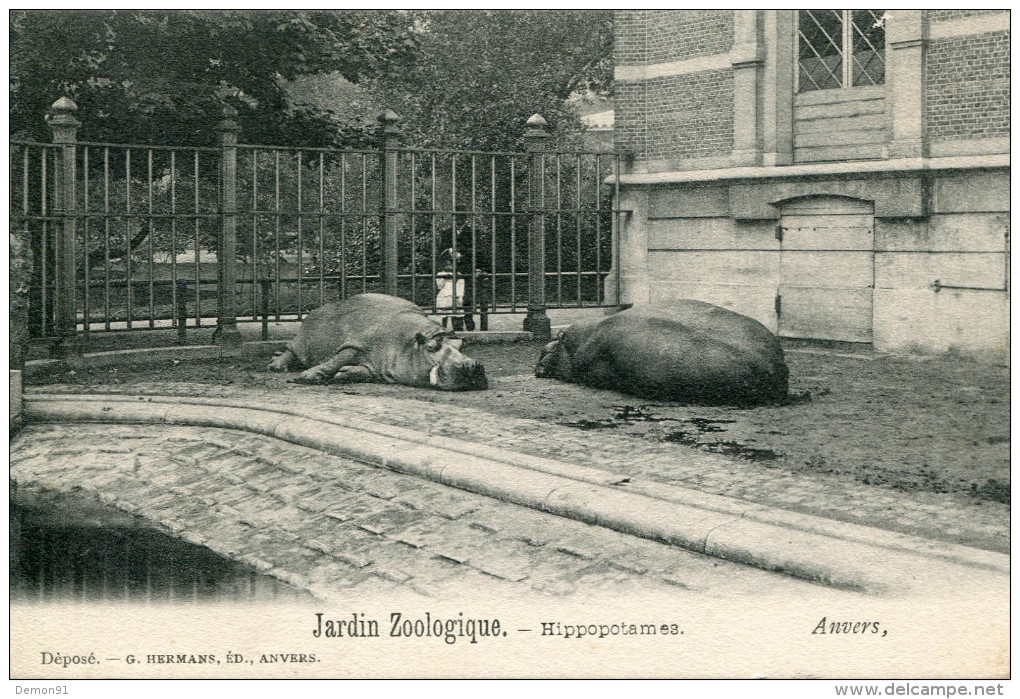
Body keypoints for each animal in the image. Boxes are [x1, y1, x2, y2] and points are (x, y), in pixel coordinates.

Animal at [267, 291, 485, 389]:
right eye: (431, 347)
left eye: (462, 344)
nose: (470, 365)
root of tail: (317, 309)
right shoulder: (357, 343)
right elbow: (336, 359)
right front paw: (303, 377)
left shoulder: (379, 366)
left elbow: (362, 371)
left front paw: (343, 373)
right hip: (303, 340)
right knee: (290, 350)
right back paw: (276, 366)